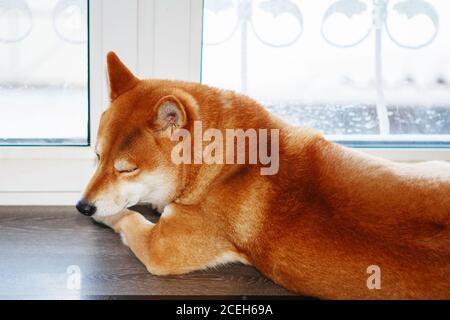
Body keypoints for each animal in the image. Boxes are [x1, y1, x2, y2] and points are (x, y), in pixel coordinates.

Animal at [77, 51, 450, 298]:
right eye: (96, 156)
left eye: (127, 168)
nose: (82, 205)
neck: (228, 163)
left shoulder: (162, 248)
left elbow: (126, 217)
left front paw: (106, 215)